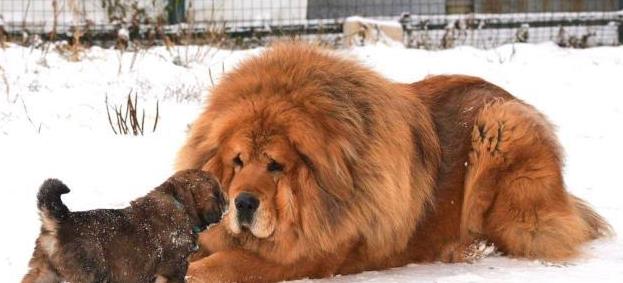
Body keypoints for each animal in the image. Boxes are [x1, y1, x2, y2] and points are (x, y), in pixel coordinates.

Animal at [22, 170, 227, 283]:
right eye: (218, 193)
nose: (227, 201)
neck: (180, 204)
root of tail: (59, 221)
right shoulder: (174, 269)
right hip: (90, 274)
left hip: (42, 272)